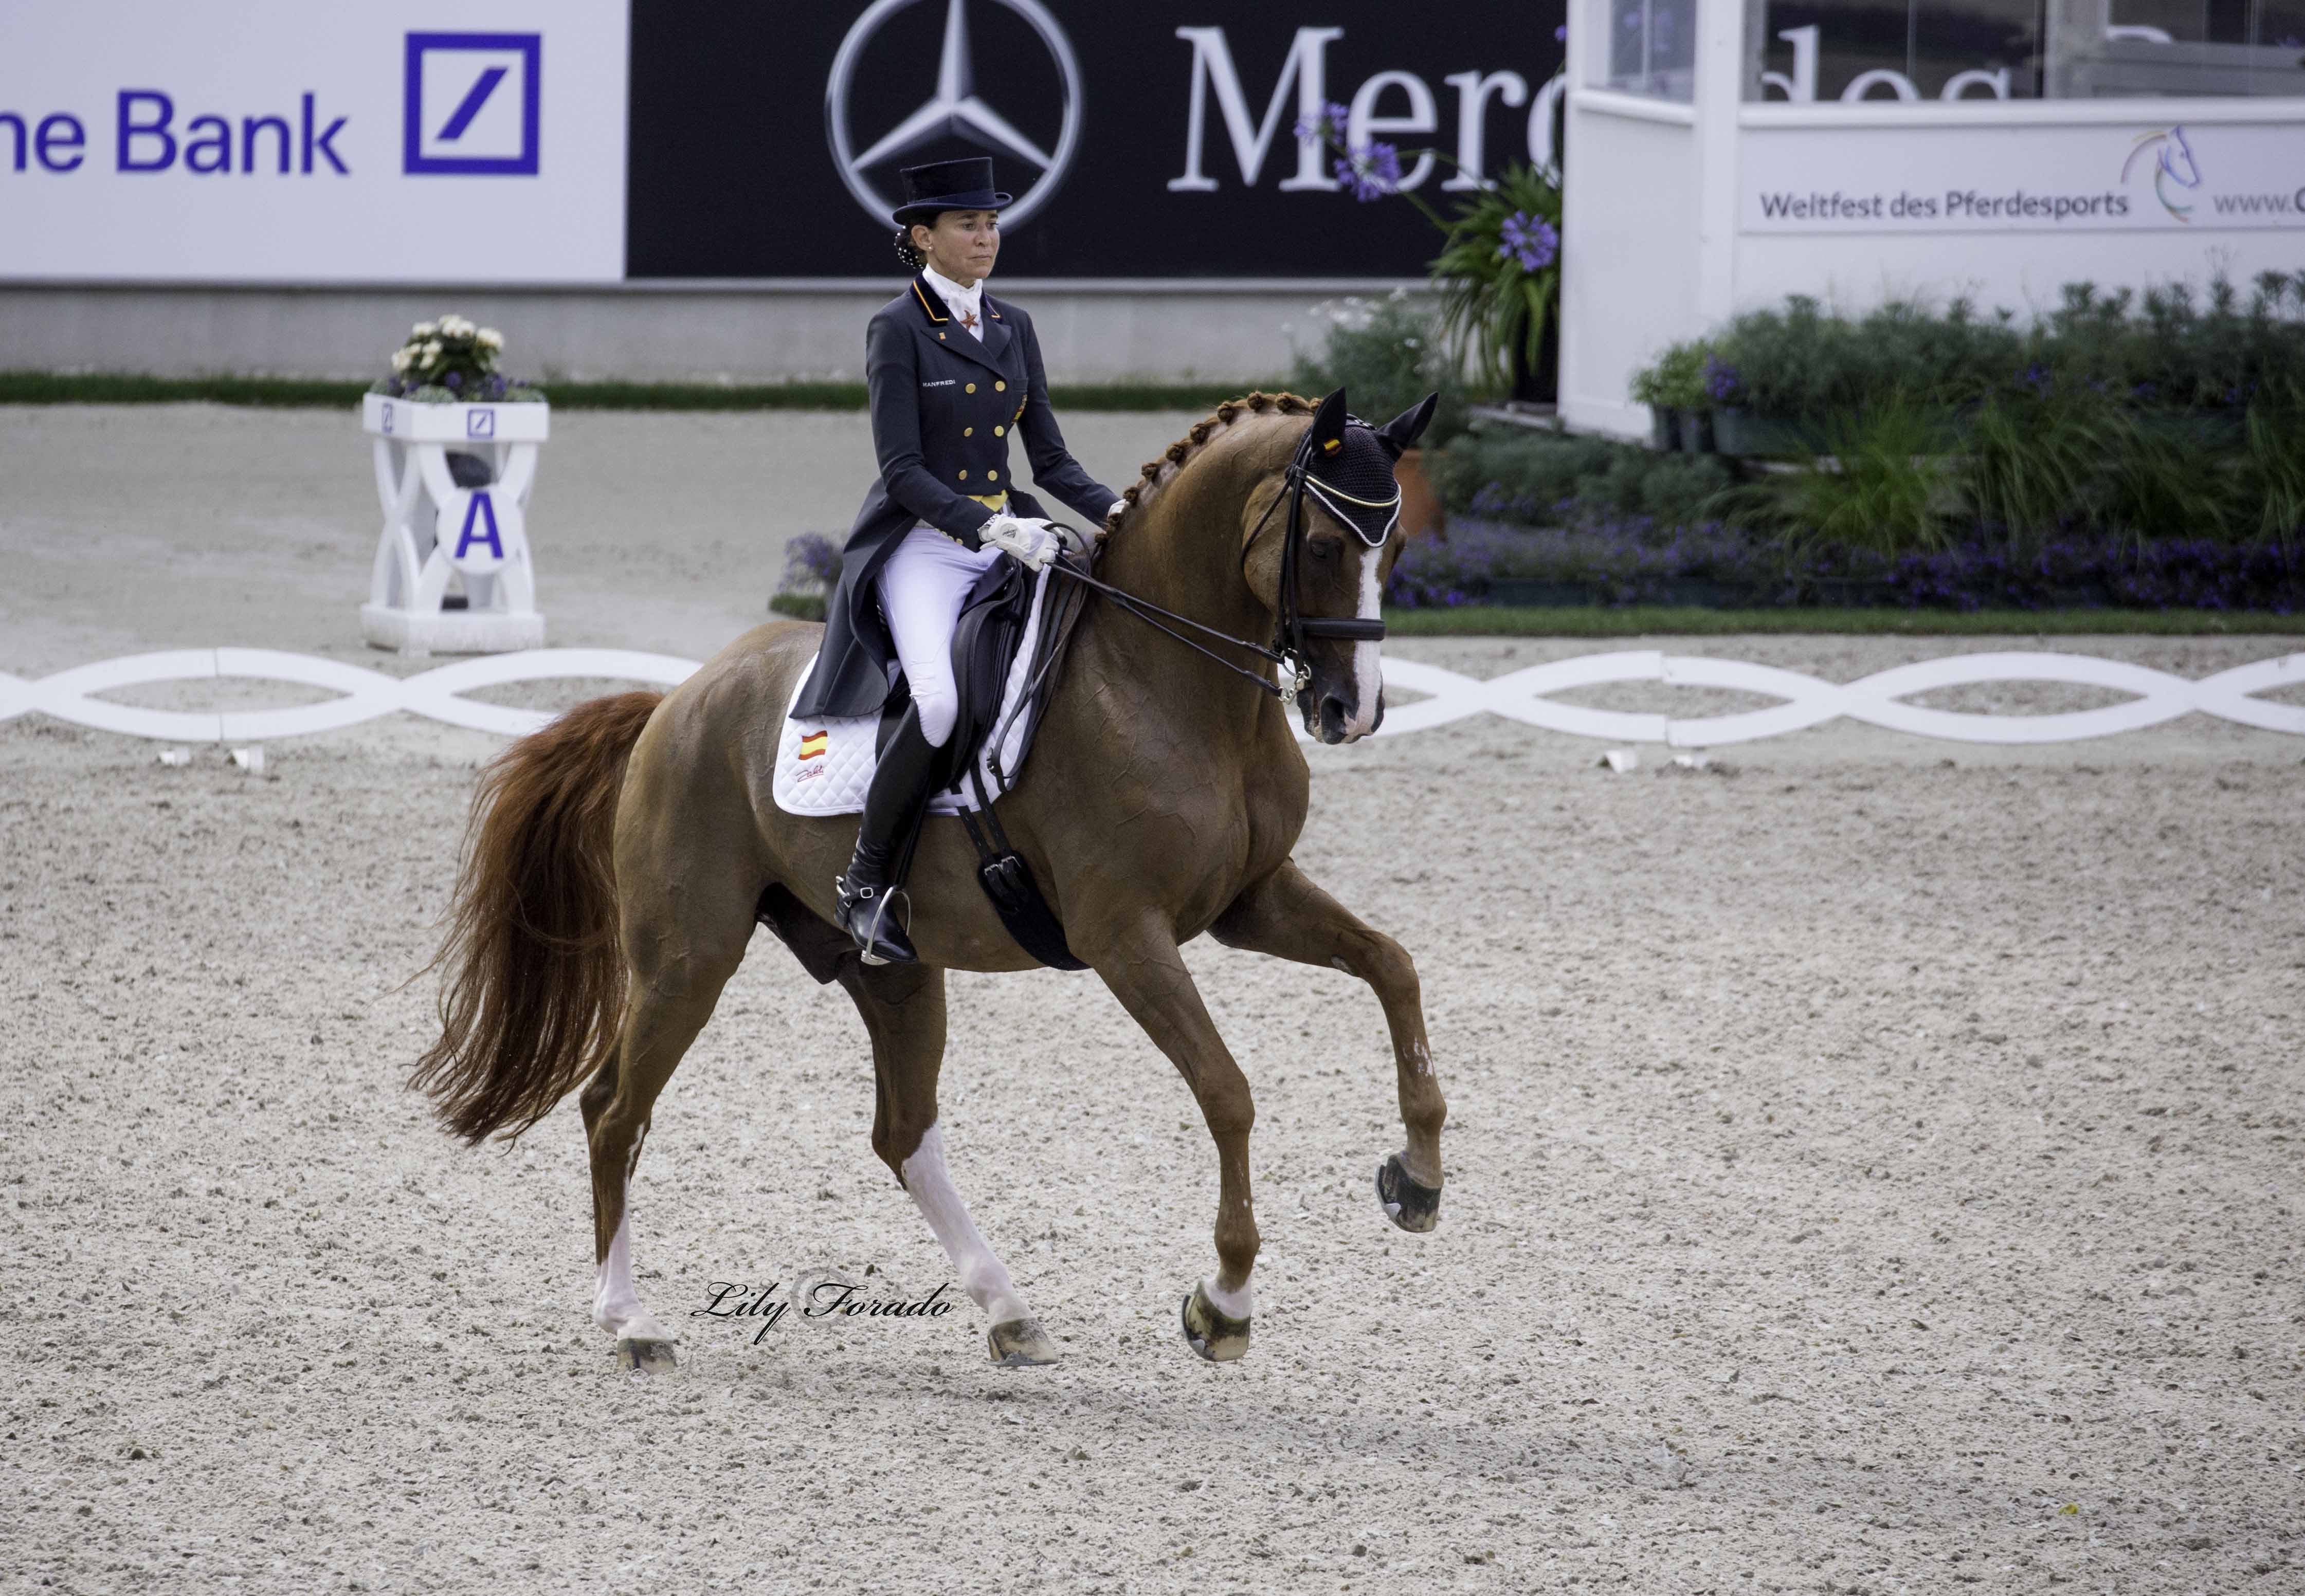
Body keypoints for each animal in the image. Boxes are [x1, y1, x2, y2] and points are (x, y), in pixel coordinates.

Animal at [408, 389, 1447, 1372]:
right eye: (1321, 544)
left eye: (1395, 544)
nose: (1350, 710)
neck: (1165, 684)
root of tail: (674, 701)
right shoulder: (1124, 935)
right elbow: (1227, 1091)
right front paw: (1222, 1304)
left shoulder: (1248, 899)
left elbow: (1393, 966)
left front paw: (1417, 1177)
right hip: (686, 958)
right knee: (617, 1111)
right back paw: (632, 1323)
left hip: (892, 971)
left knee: (899, 1131)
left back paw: (1008, 1312)